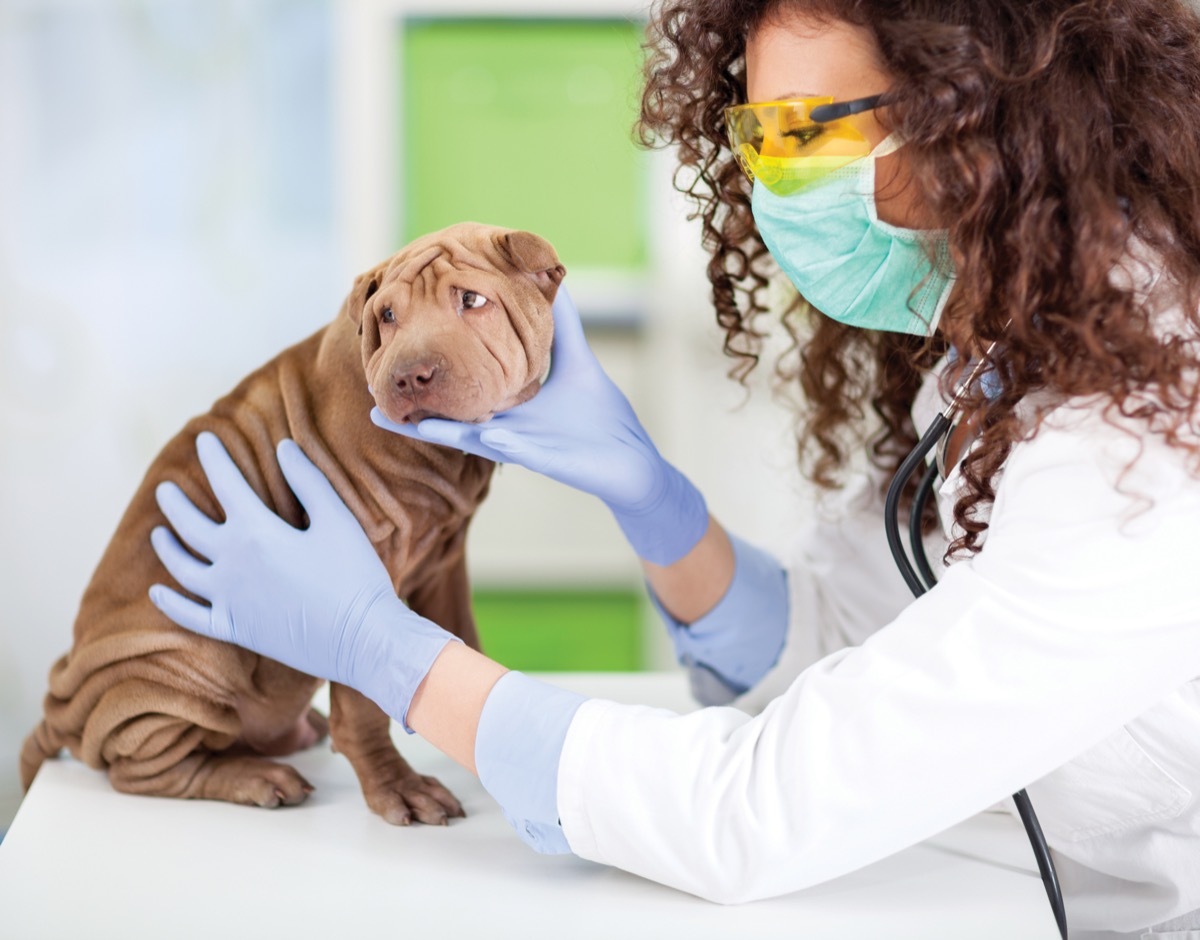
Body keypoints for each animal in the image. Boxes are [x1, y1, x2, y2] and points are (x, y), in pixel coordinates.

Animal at [18, 220, 561, 825]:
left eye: (472, 301)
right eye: (387, 316)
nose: (408, 377)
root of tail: (58, 708)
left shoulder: (445, 561)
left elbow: (463, 636)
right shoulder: (365, 577)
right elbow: (362, 701)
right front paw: (397, 786)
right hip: (184, 664)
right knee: (146, 770)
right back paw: (254, 776)